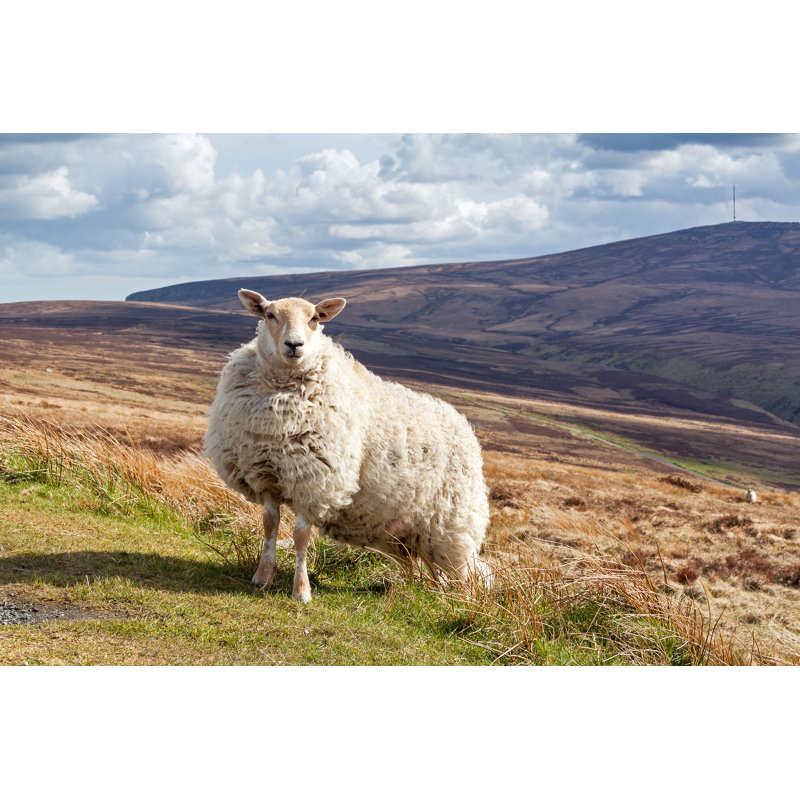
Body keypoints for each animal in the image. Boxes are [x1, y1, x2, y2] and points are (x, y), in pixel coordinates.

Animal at [203, 289, 490, 602]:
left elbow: (300, 536)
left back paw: (462, 601)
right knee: (424, 567)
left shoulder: (313, 481)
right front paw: (262, 577)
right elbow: (269, 525)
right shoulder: (267, 474)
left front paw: (301, 590)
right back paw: (413, 590)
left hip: (451, 525)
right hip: (411, 533)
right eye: (270, 314)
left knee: (467, 574)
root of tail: (464, 426)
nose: (295, 345)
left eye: (314, 318)